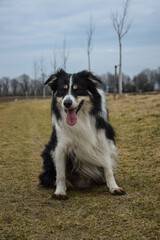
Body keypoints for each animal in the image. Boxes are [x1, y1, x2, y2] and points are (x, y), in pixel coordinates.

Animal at [39, 69, 125, 199]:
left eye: (78, 89)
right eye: (62, 90)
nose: (67, 103)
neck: (80, 119)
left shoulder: (103, 141)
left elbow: (108, 168)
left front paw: (113, 187)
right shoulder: (59, 147)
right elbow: (61, 173)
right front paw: (60, 191)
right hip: (47, 153)